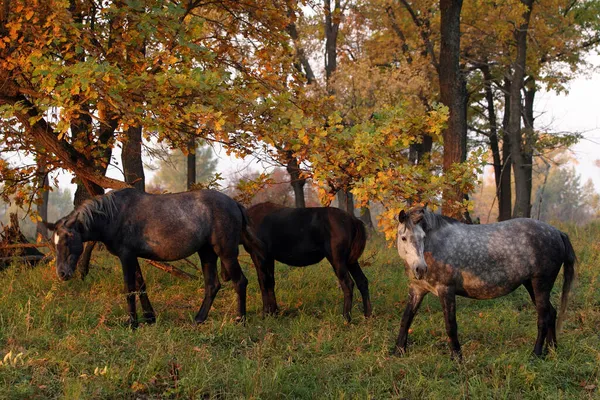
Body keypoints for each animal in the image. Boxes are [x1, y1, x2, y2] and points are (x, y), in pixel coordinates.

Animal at [45, 189, 264, 326]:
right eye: (54, 243)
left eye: (68, 240)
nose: (62, 273)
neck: (114, 215)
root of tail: (234, 203)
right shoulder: (133, 257)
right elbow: (140, 286)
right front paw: (149, 318)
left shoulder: (126, 256)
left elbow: (129, 288)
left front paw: (132, 322)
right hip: (207, 253)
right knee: (212, 285)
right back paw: (199, 319)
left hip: (226, 253)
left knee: (240, 282)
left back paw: (240, 320)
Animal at [394, 206, 576, 360]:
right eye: (403, 238)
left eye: (423, 237)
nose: (420, 268)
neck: (436, 246)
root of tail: (557, 232)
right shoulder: (417, 289)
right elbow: (406, 319)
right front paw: (398, 351)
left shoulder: (446, 290)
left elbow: (450, 325)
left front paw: (457, 358)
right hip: (531, 284)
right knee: (551, 313)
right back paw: (552, 350)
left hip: (541, 284)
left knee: (543, 317)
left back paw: (536, 354)